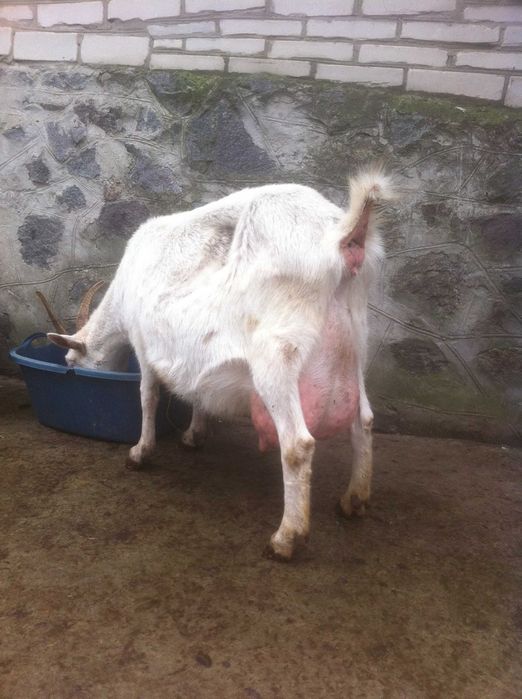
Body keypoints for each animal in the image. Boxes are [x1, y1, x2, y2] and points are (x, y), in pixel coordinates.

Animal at [48, 172, 394, 560]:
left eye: (71, 360)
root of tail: (343, 237)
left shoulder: (142, 341)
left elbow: (148, 397)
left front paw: (140, 453)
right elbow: (197, 389)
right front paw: (194, 435)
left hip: (277, 356)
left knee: (298, 444)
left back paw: (286, 538)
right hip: (356, 344)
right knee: (363, 421)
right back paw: (353, 500)